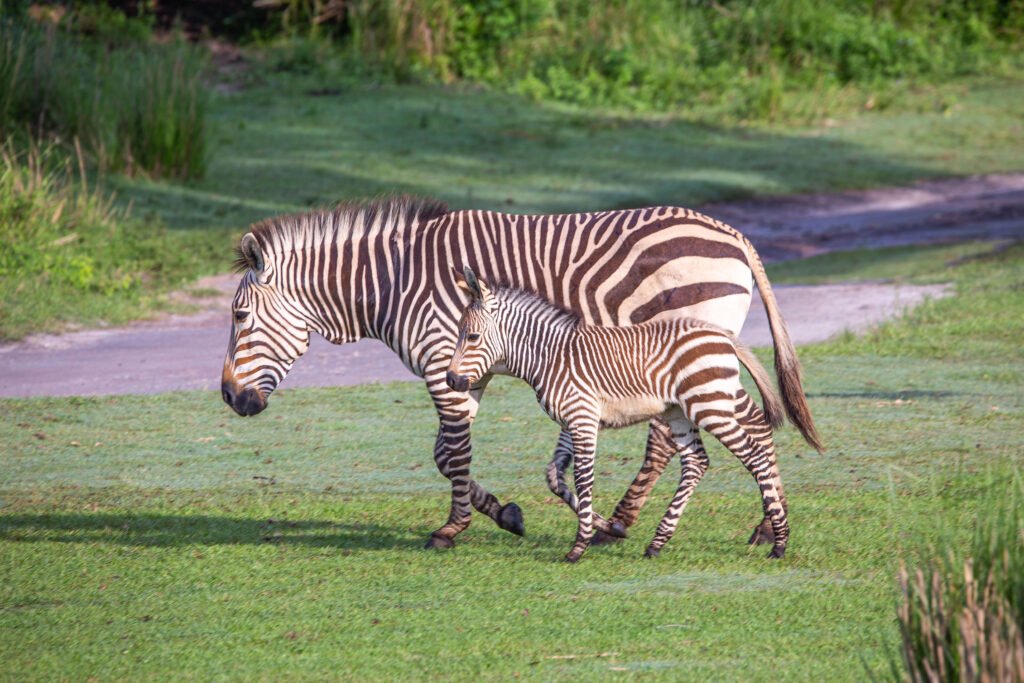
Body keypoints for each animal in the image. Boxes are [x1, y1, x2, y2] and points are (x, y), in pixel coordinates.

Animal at [446, 266, 798, 561]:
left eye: (472, 336)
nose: (451, 381)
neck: (550, 357)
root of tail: (719, 334)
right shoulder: (573, 421)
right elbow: (555, 478)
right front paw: (607, 527)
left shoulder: (583, 418)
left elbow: (583, 478)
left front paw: (579, 546)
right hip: (680, 412)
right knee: (697, 462)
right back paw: (658, 542)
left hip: (710, 405)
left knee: (753, 455)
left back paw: (779, 542)